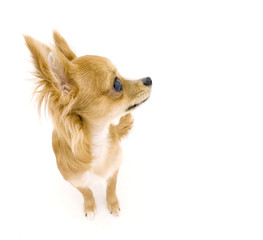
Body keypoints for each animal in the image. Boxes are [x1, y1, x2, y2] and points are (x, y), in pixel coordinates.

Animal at [24, 31, 153, 218]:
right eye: (117, 84)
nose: (149, 79)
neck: (98, 141)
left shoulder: (114, 168)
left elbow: (111, 188)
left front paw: (112, 204)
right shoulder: (74, 180)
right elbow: (87, 192)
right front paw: (90, 206)